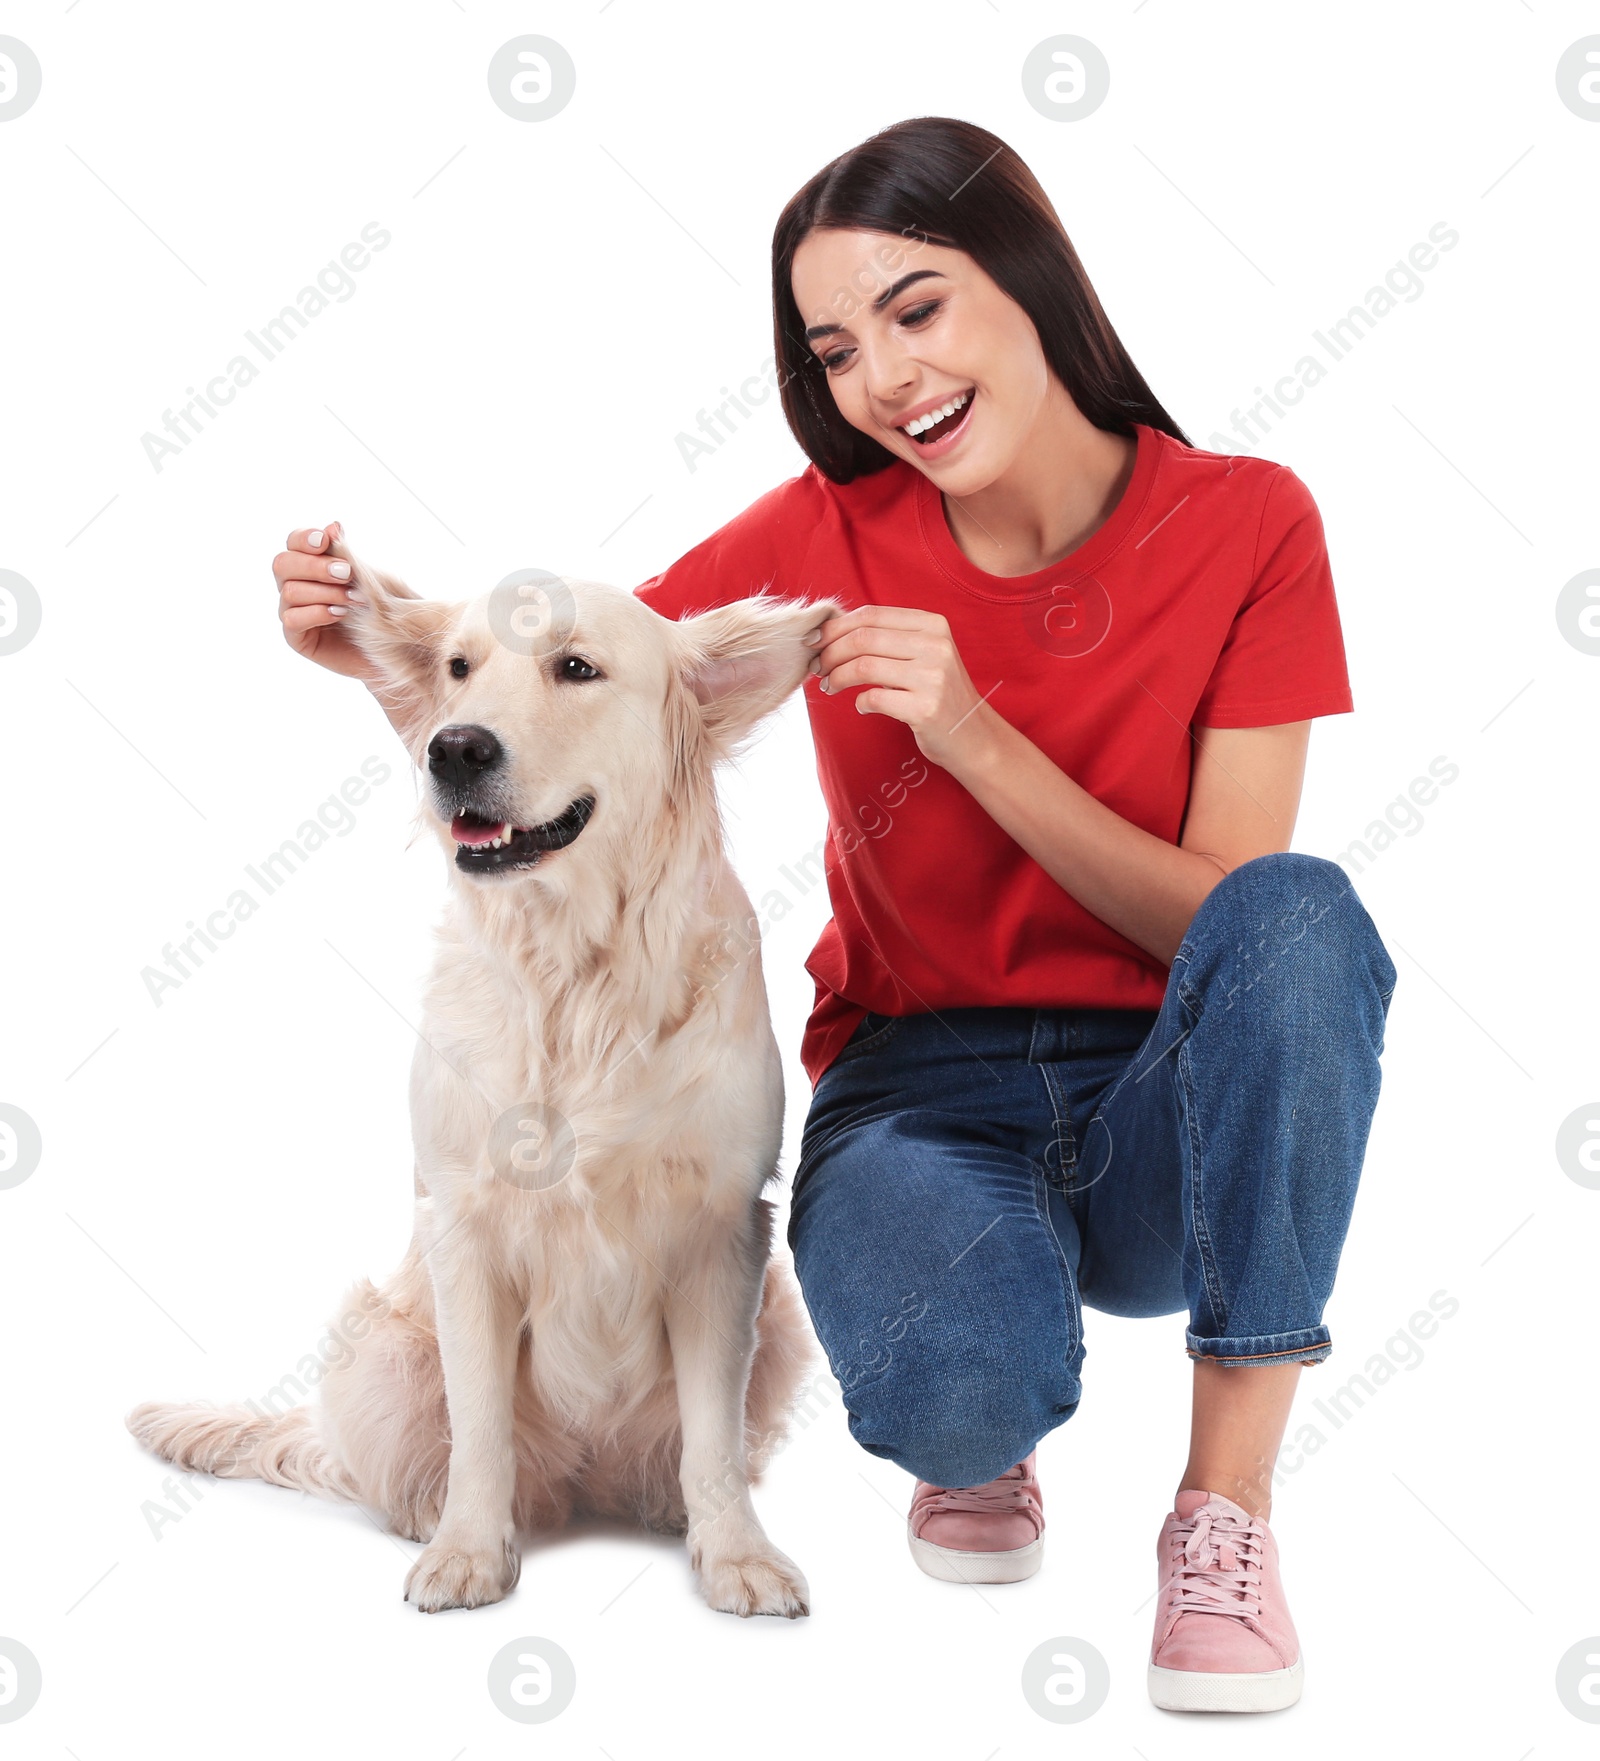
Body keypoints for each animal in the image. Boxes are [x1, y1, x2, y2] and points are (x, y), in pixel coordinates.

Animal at [131, 538, 841, 1620]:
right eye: (458, 668)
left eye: (576, 667)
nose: (452, 748)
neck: (576, 972)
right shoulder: (463, 1226)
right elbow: (478, 1424)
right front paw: (467, 1551)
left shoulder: (723, 1232)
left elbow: (713, 1440)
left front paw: (735, 1555)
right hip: (377, 1343)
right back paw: (432, 1515)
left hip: (784, 1319)